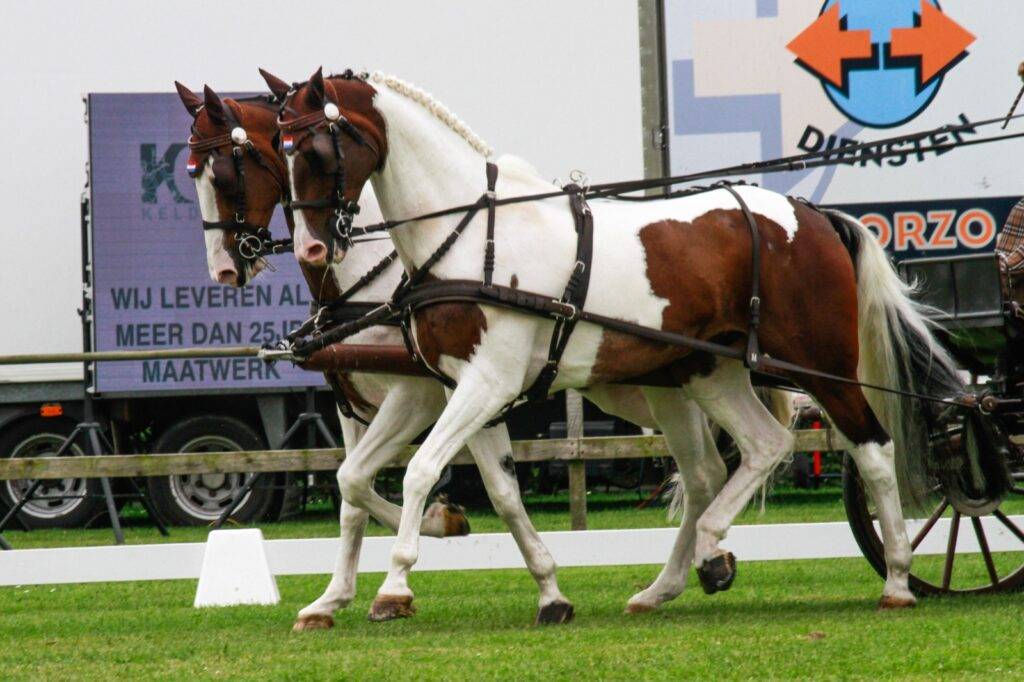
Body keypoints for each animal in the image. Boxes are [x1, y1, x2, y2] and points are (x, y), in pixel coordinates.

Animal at [273, 66, 962, 620]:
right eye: (279, 156)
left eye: (315, 151)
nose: (313, 248)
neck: (471, 237)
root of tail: (810, 214)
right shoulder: (455, 386)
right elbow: (458, 486)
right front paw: (543, 591)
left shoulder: (484, 382)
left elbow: (419, 471)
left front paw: (393, 589)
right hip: (710, 373)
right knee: (758, 449)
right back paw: (688, 569)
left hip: (821, 364)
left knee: (872, 449)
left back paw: (897, 580)